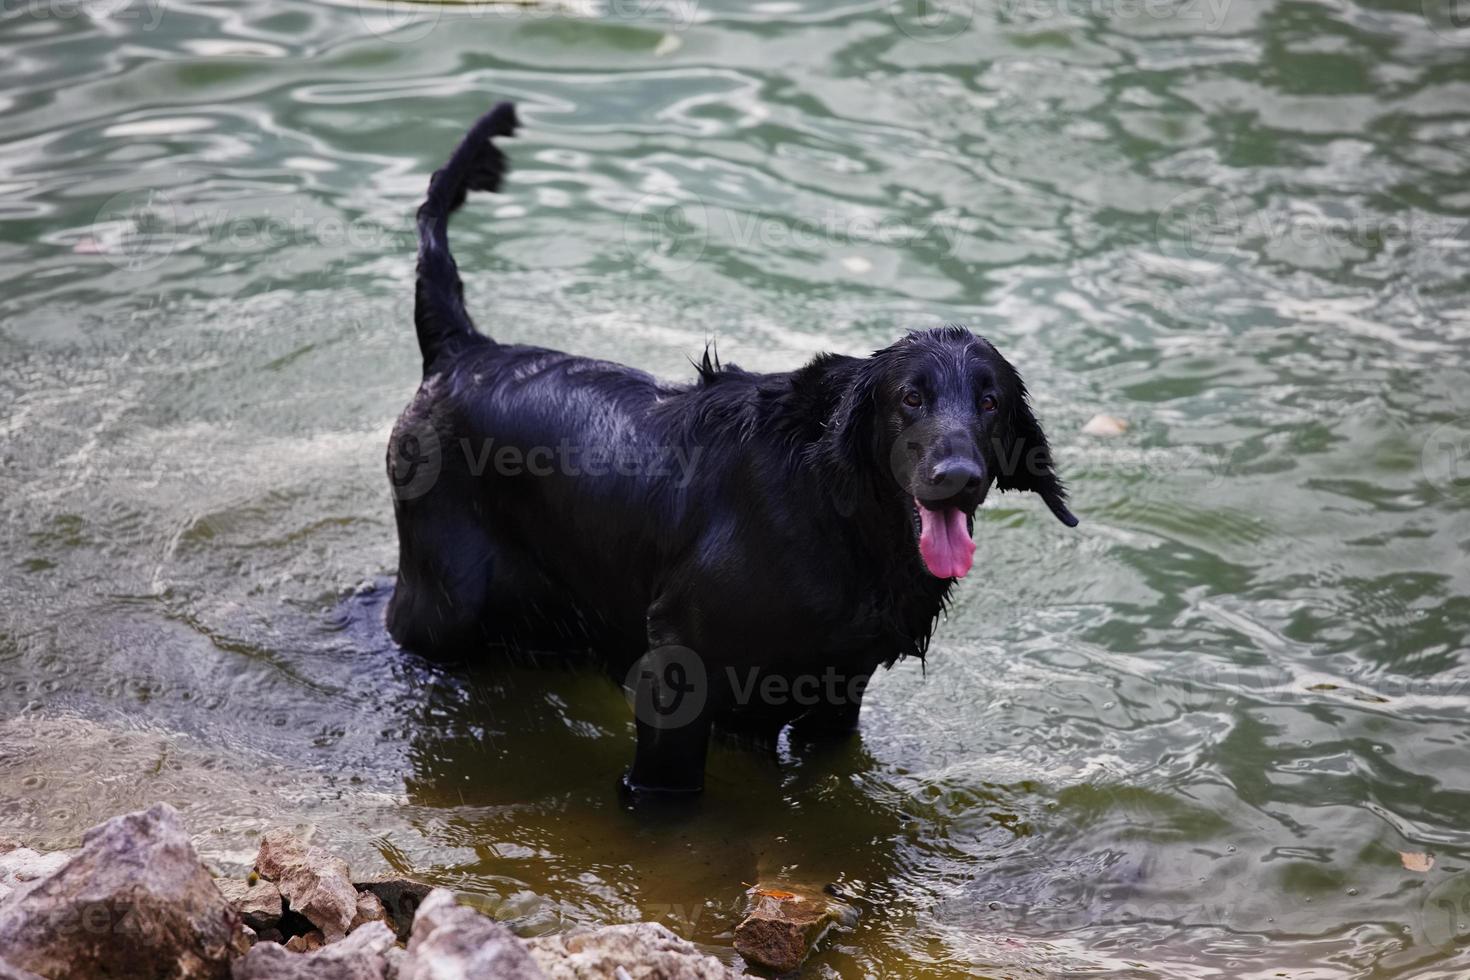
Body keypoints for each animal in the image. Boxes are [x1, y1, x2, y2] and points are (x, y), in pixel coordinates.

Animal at [391, 105, 1081, 799]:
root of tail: (463, 349)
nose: (958, 476)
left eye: (990, 403)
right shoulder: (677, 669)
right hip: (441, 606)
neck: (834, 514)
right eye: (911, 397)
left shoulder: (838, 691)